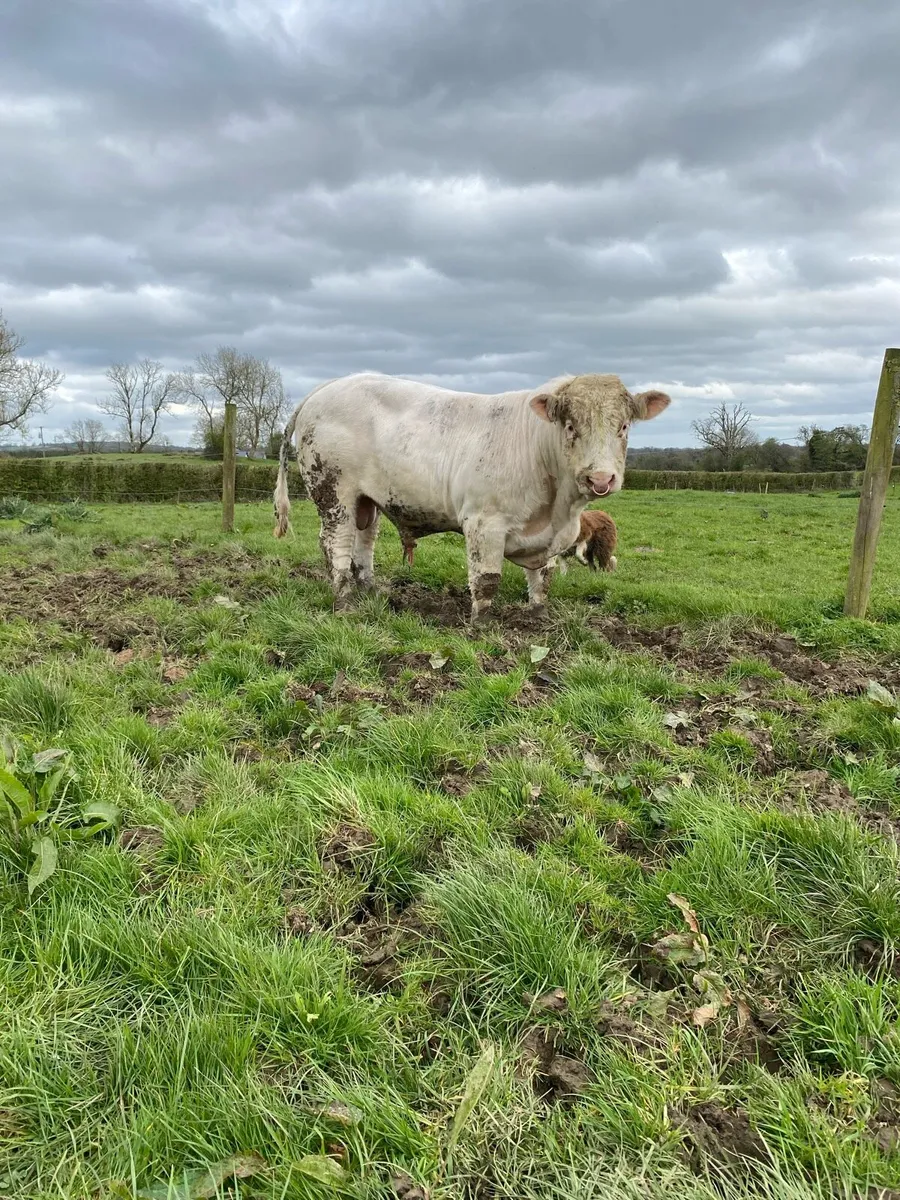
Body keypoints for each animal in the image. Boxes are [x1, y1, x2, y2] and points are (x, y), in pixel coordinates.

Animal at [273, 372, 669, 622]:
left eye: (623, 427)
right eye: (571, 427)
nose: (600, 478)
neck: (558, 509)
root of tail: (329, 386)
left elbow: (543, 577)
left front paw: (539, 616)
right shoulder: (484, 522)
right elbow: (486, 579)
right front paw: (481, 624)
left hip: (367, 500)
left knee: (363, 543)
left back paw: (370, 591)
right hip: (334, 492)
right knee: (336, 545)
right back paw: (344, 601)